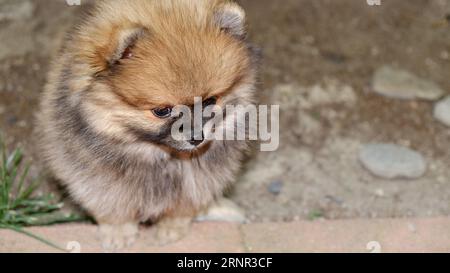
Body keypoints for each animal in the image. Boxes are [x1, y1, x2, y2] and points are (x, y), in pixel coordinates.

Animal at [36, 0, 256, 249]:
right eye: (162, 111)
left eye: (210, 101)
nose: (197, 138)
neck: (158, 154)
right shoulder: (96, 179)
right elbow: (112, 207)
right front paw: (118, 233)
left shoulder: (199, 180)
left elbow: (183, 205)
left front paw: (171, 229)